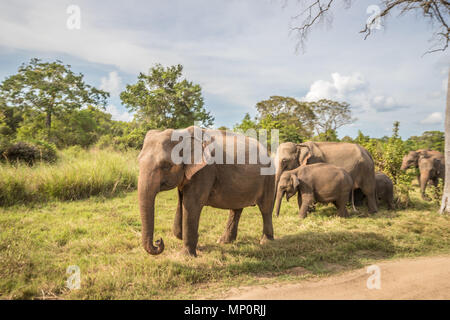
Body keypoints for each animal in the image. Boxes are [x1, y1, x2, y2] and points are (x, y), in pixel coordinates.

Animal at [137, 126, 274, 256]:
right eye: (138, 160)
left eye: (166, 165)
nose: (158, 241)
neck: (183, 133)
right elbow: (181, 201)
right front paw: (183, 236)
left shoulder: (205, 170)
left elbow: (191, 205)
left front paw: (186, 255)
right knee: (236, 209)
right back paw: (224, 241)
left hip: (269, 175)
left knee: (265, 209)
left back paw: (266, 242)